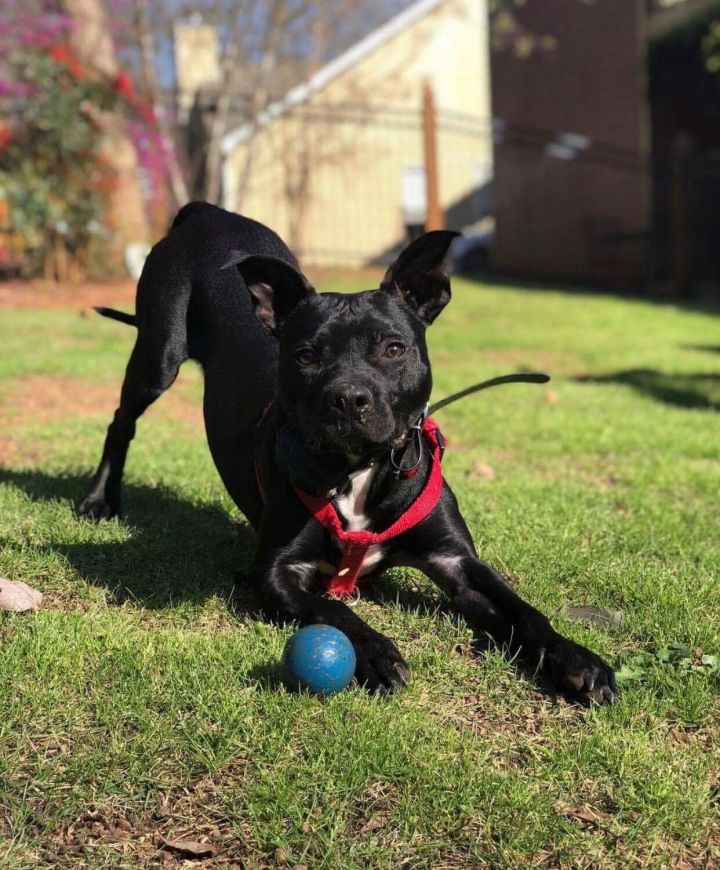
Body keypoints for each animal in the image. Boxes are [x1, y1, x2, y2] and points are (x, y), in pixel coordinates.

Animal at [80, 204, 620, 708]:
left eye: (393, 348)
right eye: (304, 355)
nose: (348, 398)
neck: (360, 467)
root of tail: (208, 212)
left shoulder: (457, 561)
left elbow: (524, 610)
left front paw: (577, 659)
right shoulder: (278, 571)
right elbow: (335, 610)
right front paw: (376, 652)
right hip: (157, 354)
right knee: (121, 422)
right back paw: (99, 500)